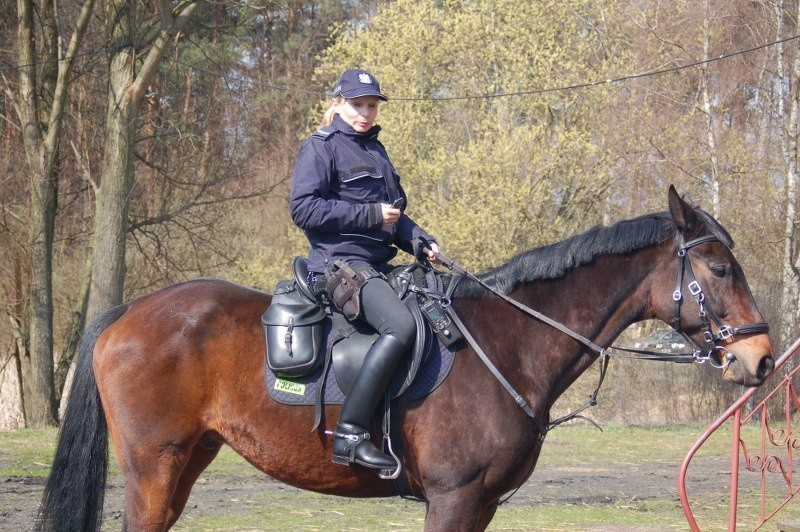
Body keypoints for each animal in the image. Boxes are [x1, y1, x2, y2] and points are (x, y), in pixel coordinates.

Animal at [36, 188, 776, 532]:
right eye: (718, 268)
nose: (762, 357)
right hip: (153, 464)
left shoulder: (481, 504)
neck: (506, 343)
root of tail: (129, 312)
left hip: (187, 459)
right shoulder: (452, 498)